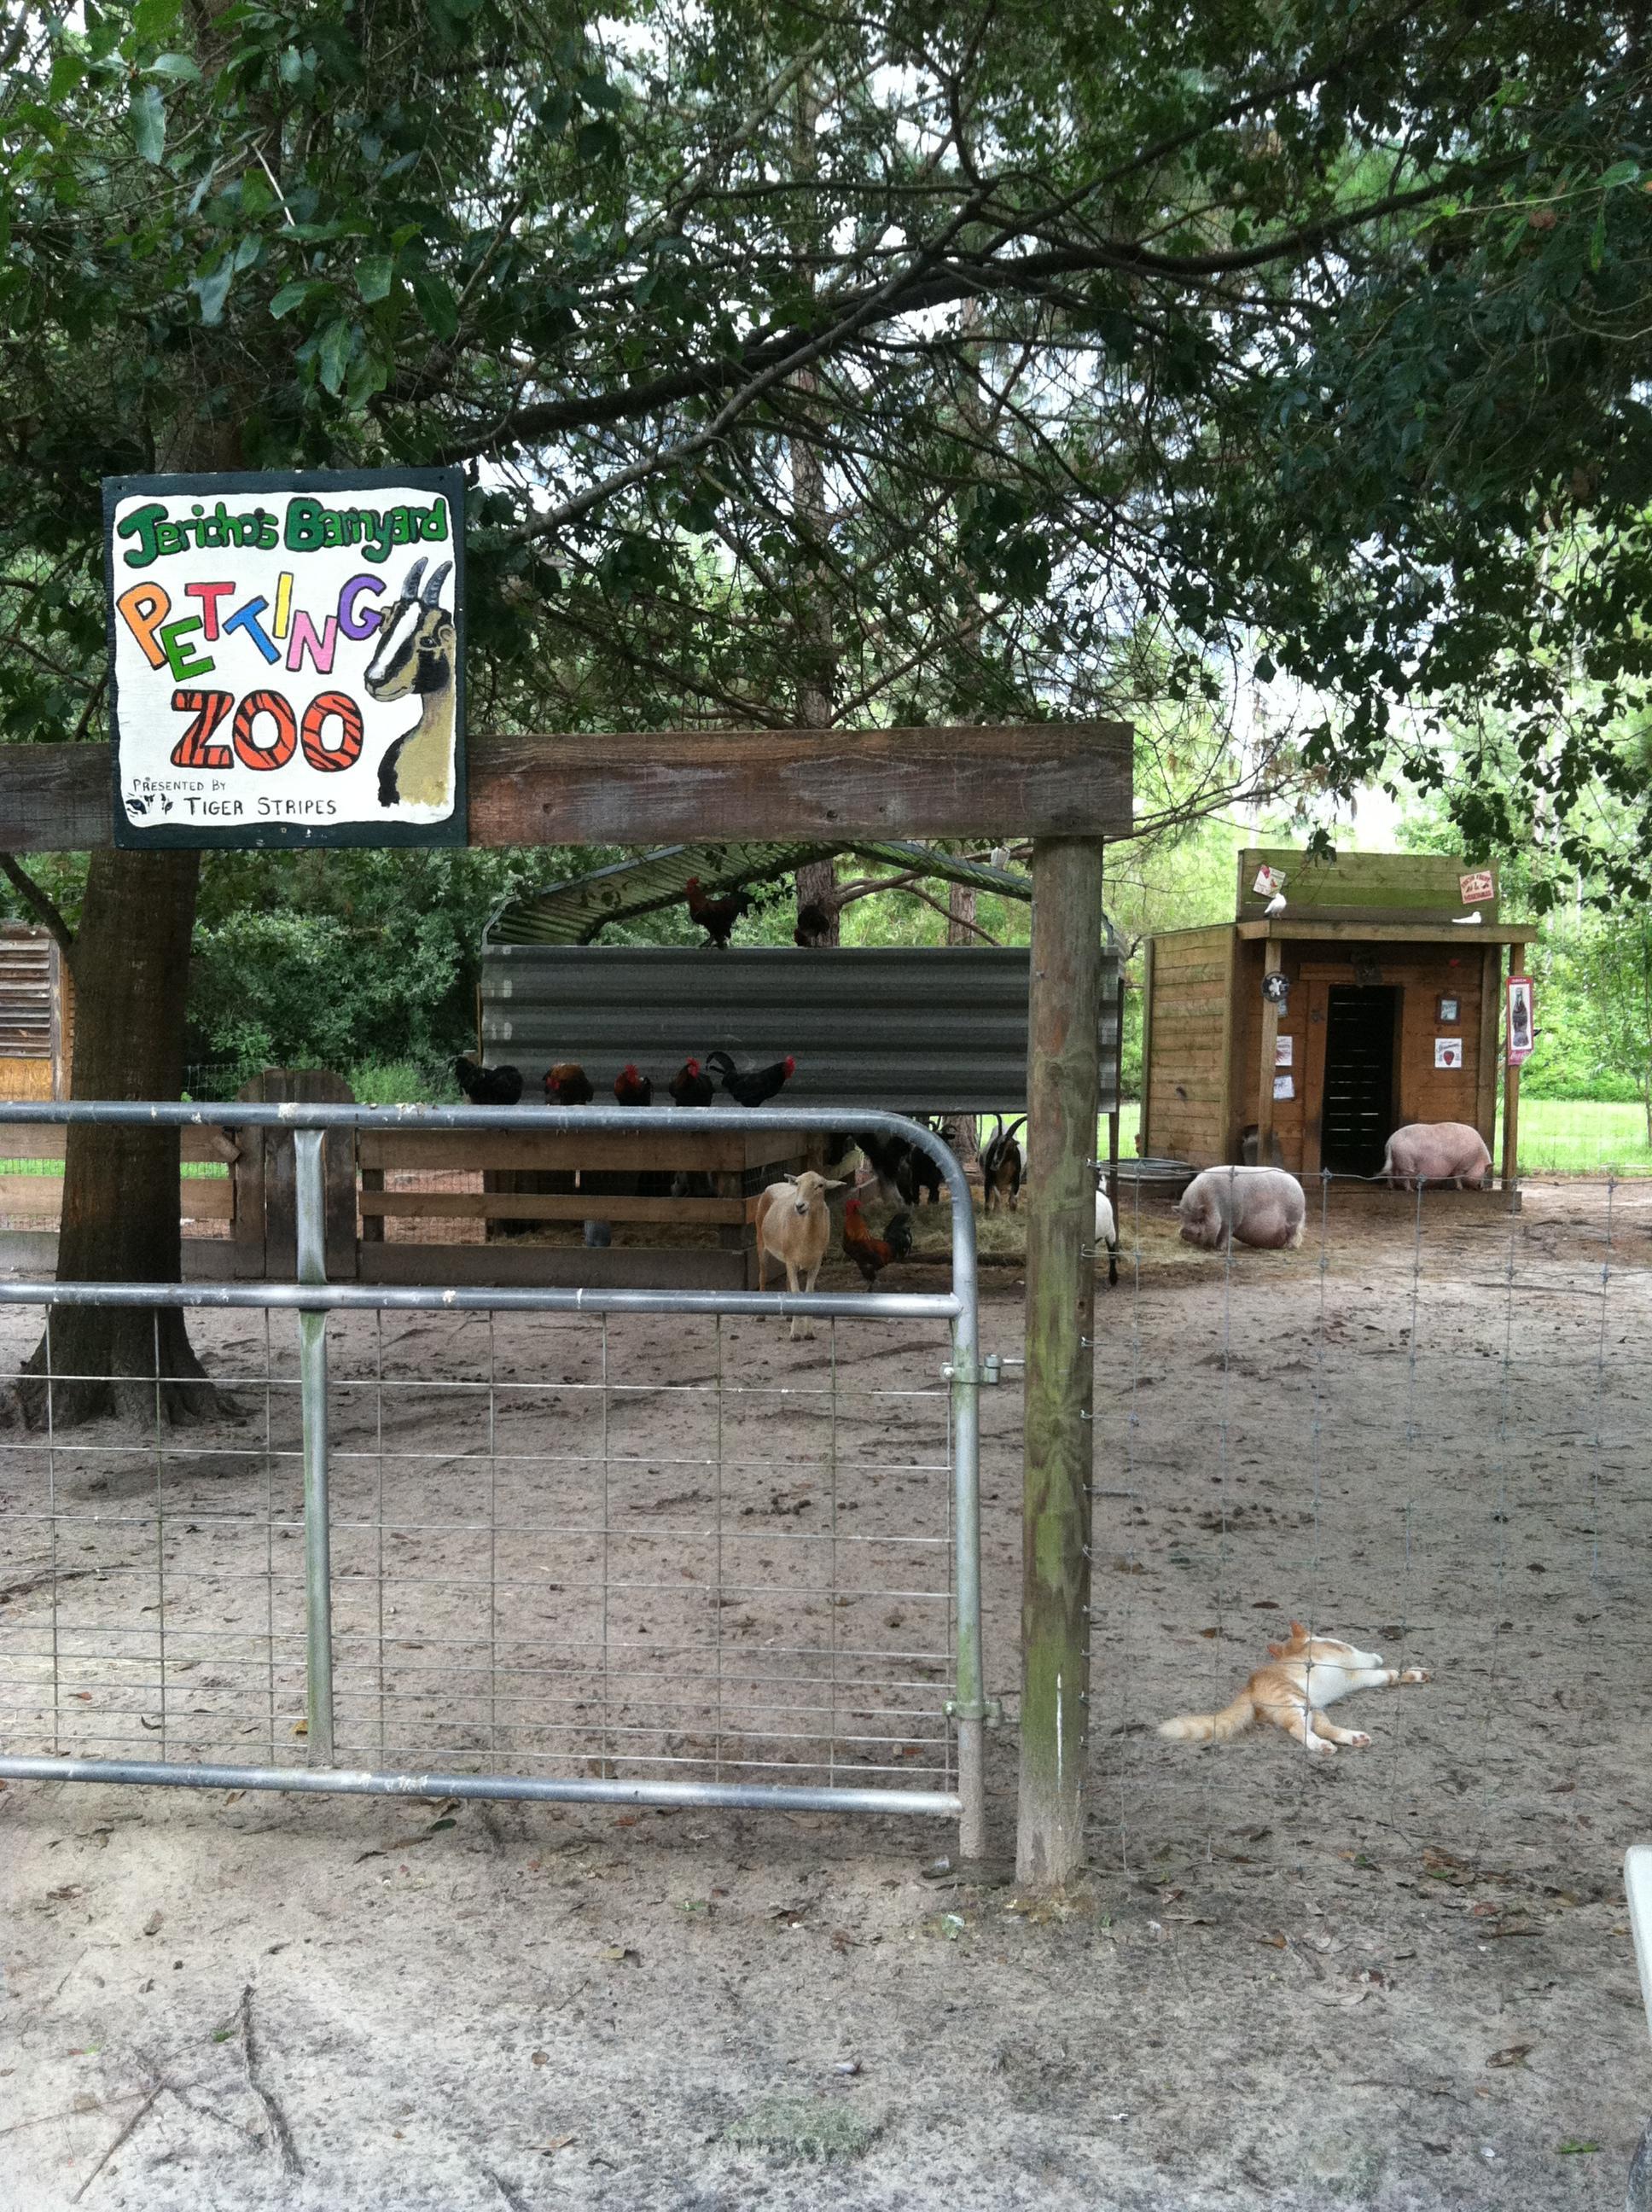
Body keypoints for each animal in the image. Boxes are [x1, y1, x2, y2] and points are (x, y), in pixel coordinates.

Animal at [756, 1167, 845, 1336]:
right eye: (798, 1183)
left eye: (820, 1185)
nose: (799, 1206)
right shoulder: (791, 1260)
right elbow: (797, 1293)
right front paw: (795, 1334)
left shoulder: (816, 1262)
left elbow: (808, 1293)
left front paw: (809, 1332)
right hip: (761, 1241)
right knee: (763, 1275)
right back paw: (760, 1316)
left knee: (786, 1281)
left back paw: (789, 1316)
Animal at [1176, 1167, 1309, 1256]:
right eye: (1183, 1218)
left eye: (1200, 1219)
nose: (1187, 1231)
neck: (1215, 1204)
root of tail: (1296, 1183)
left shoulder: (1232, 1219)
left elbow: (1224, 1235)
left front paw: (1220, 1249)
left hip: (1293, 1217)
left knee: (1293, 1234)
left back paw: (1289, 1248)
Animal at [1380, 1123, 1494, 1194]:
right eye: (1485, 1172)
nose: (1481, 1188)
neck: (1477, 1157)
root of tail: (1391, 1142)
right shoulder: (1463, 1164)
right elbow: (1458, 1176)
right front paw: (1460, 1188)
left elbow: (1452, 1176)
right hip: (1406, 1161)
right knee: (1405, 1176)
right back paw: (1410, 1190)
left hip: (1394, 1160)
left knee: (1390, 1173)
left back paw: (1391, 1188)